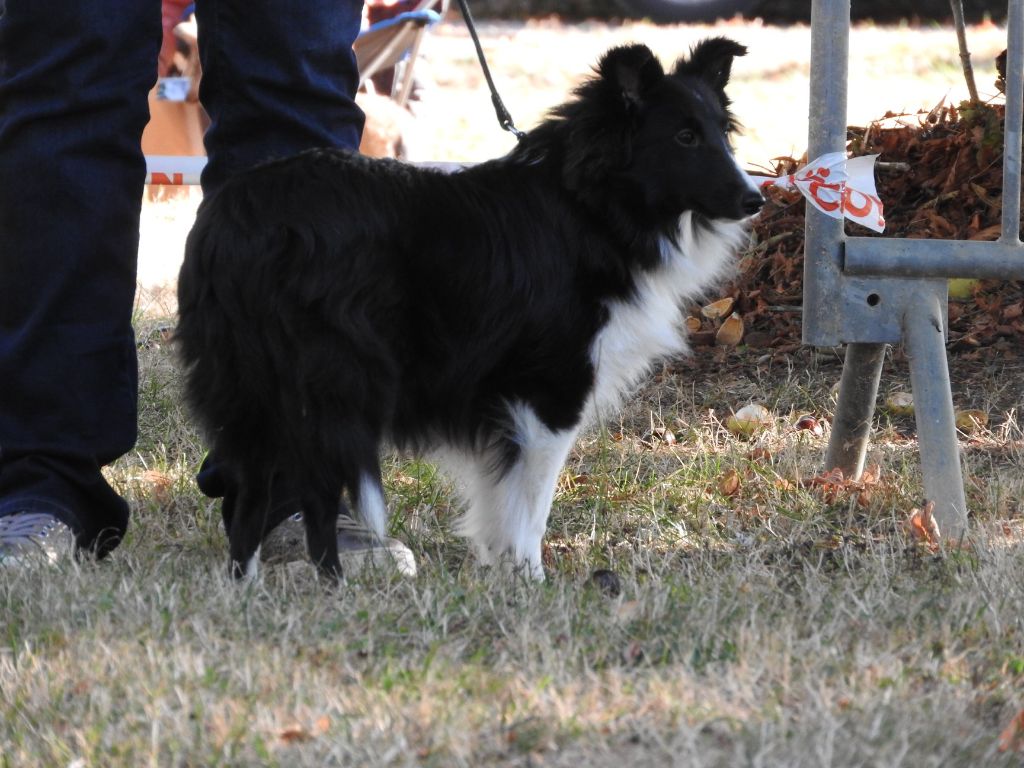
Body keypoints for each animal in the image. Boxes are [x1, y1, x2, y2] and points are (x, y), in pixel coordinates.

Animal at [178, 39, 761, 581]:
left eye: (723, 133)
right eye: (684, 138)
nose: (754, 200)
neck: (591, 206)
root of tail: (236, 214)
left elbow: (504, 499)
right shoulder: (549, 393)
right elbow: (531, 506)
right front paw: (531, 579)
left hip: (261, 383)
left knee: (254, 494)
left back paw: (256, 587)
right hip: (336, 379)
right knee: (313, 496)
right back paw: (331, 586)